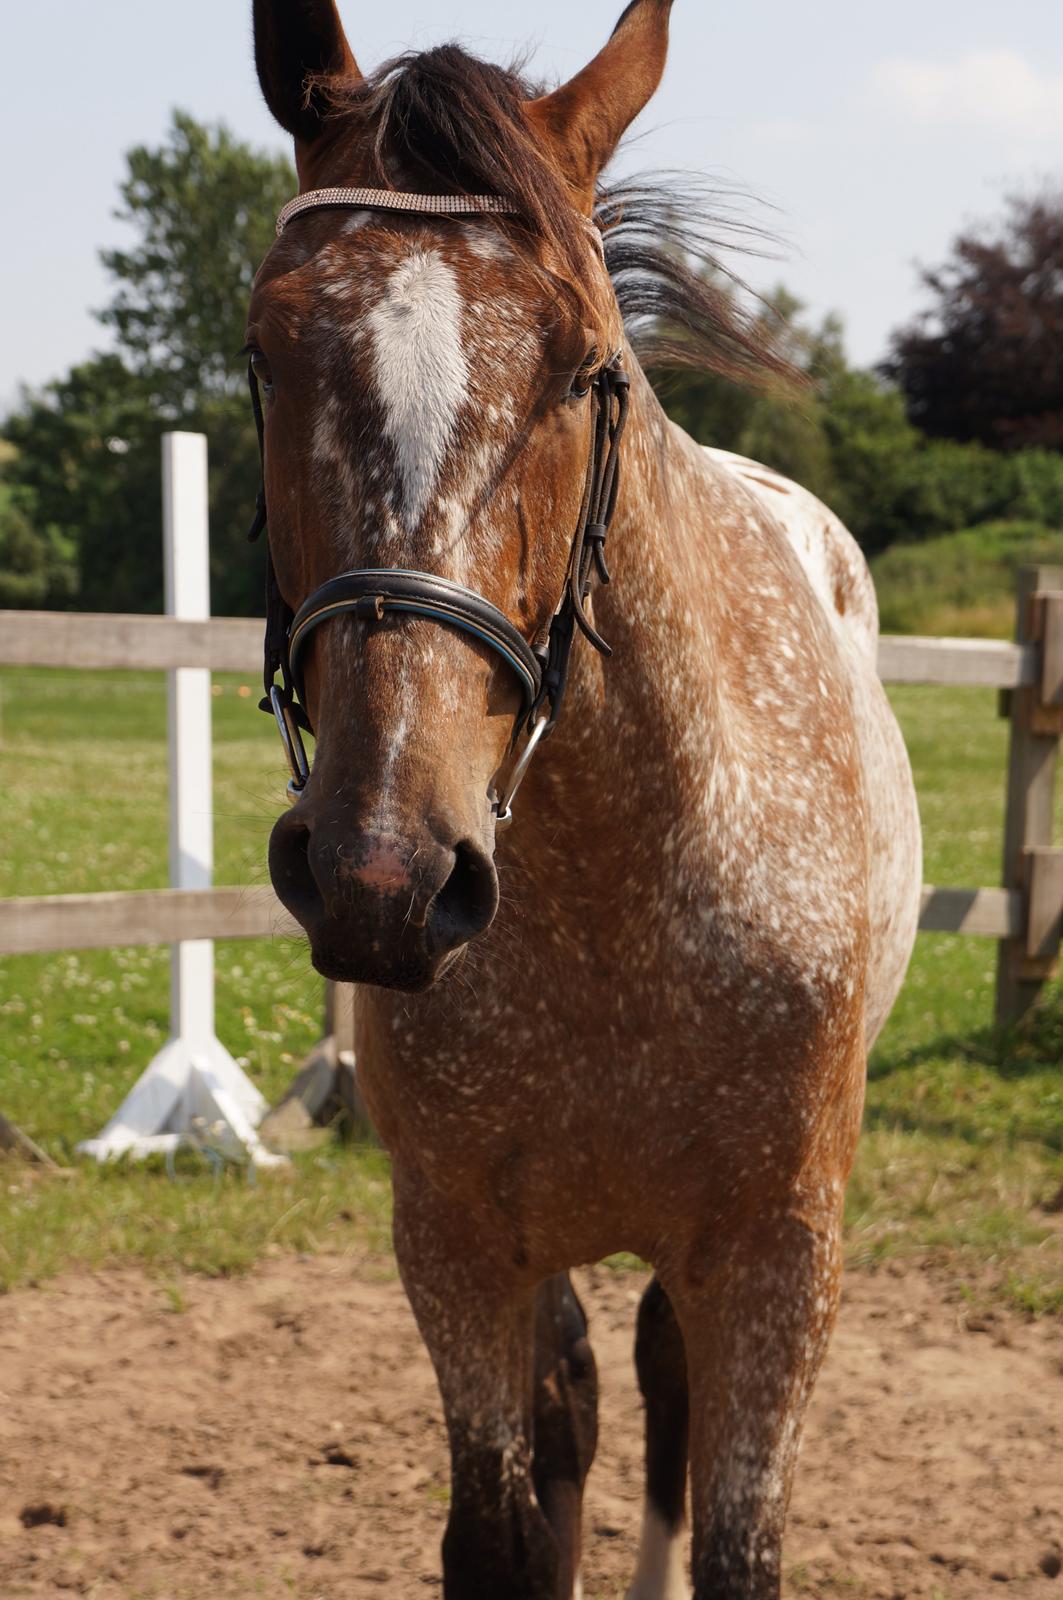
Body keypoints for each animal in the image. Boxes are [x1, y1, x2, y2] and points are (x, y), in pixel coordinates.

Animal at [246, 6, 922, 1593]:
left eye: (581, 368)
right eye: (266, 349)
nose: (383, 877)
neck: (627, 897)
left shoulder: (778, 1261)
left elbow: (734, 1533)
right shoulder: (457, 1256)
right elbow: (505, 1520)